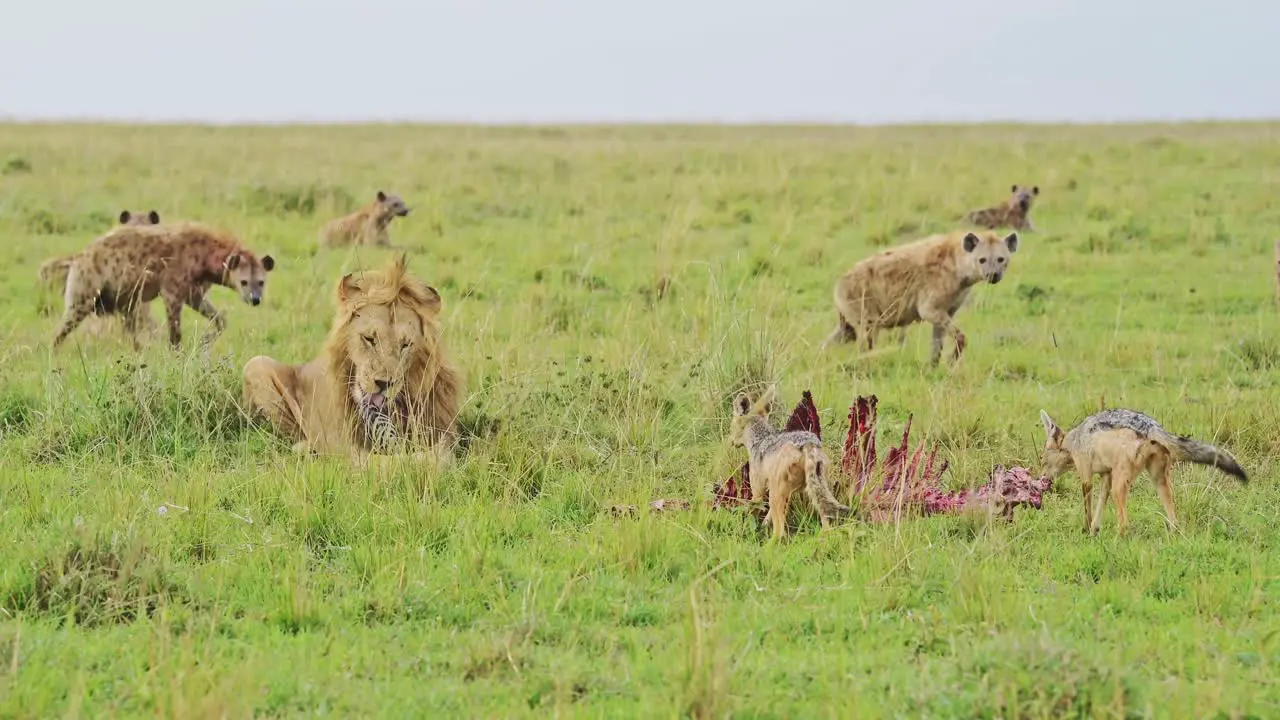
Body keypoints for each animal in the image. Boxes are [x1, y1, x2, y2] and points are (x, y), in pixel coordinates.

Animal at [241, 254, 463, 461]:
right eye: (369, 339)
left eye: (405, 345)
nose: (384, 384)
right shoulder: (344, 445)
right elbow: (383, 462)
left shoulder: (443, 431)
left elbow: (440, 453)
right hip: (256, 364)